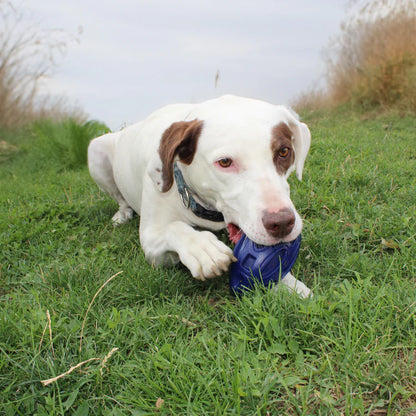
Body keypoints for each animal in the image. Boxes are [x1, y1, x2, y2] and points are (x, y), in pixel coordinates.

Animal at [89, 95, 314, 296]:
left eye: (284, 151)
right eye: (225, 162)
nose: (282, 223)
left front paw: (289, 284)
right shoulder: (151, 241)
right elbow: (174, 228)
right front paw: (202, 248)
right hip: (96, 151)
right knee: (120, 198)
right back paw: (122, 214)